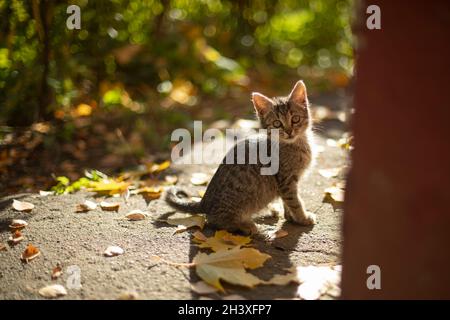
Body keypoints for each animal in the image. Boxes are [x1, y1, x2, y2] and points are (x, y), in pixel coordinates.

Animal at [165, 80, 316, 234]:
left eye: (295, 119)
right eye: (277, 124)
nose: (289, 132)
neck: (295, 145)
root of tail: (204, 201)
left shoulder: (288, 182)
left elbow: (288, 201)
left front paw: (291, 217)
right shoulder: (286, 181)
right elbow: (294, 201)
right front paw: (302, 218)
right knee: (216, 221)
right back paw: (247, 226)